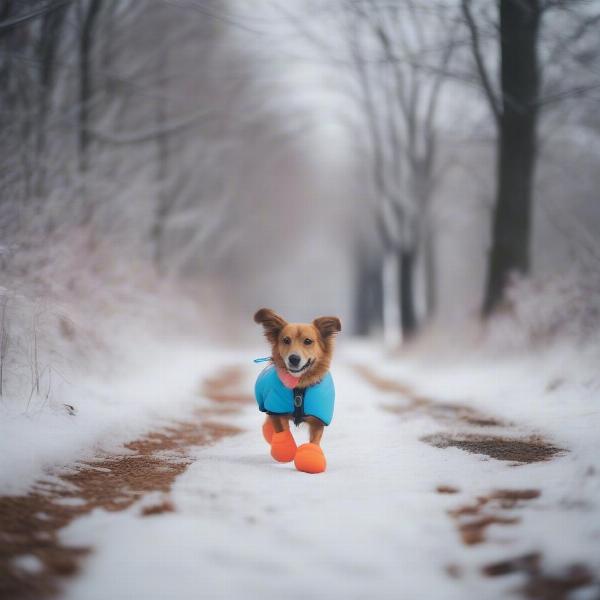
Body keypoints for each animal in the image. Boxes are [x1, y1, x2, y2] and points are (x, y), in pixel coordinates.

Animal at [252, 310, 340, 474]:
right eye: (286, 340)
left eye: (308, 341)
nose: (293, 358)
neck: (299, 386)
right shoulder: (275, 410)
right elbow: (281, 429)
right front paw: (285, 450)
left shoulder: (318, 420)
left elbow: (314, 441)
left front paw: (310, 458)